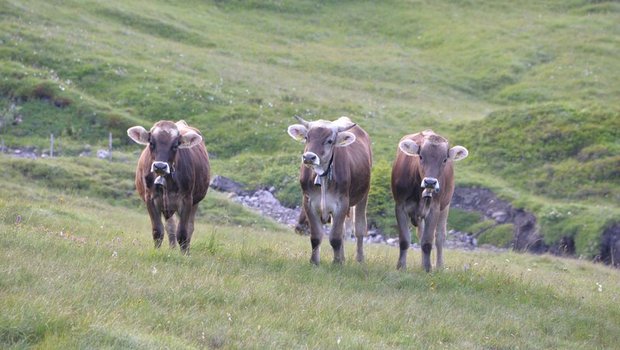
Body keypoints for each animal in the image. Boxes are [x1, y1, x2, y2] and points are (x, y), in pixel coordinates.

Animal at [126, 120, 211, 254]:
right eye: (151, 143)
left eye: (175, 145)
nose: (160, 166)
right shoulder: (150, 199)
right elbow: (158, 231)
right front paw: (157, 252)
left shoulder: (186, 200)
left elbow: (183, 232)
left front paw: (184, 255)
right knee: (170, 227)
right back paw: (172, 249)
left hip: (195, 201)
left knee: (190, 227)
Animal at [286, 116, 370, 264]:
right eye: (307, 137)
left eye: (330, 141)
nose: (309, 157)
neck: (322, 176)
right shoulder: (308, 202)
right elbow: (316, 237)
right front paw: (314, 262)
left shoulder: (342, 203)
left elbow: (335, 237)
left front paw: (336, 263)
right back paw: (343, 257)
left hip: (363, 195)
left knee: (359, 228)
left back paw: (359, 259)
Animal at [390, 131, 468, 270]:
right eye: (420, 157)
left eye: (444, 159)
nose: (430, 182)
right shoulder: (400, 206)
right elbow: (404, 240)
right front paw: (401, 267)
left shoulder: (434, 209)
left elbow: (427, 242)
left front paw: (427, 269)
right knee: (421, 234)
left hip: (445, 206)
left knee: (440, 237)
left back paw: (439, 266)